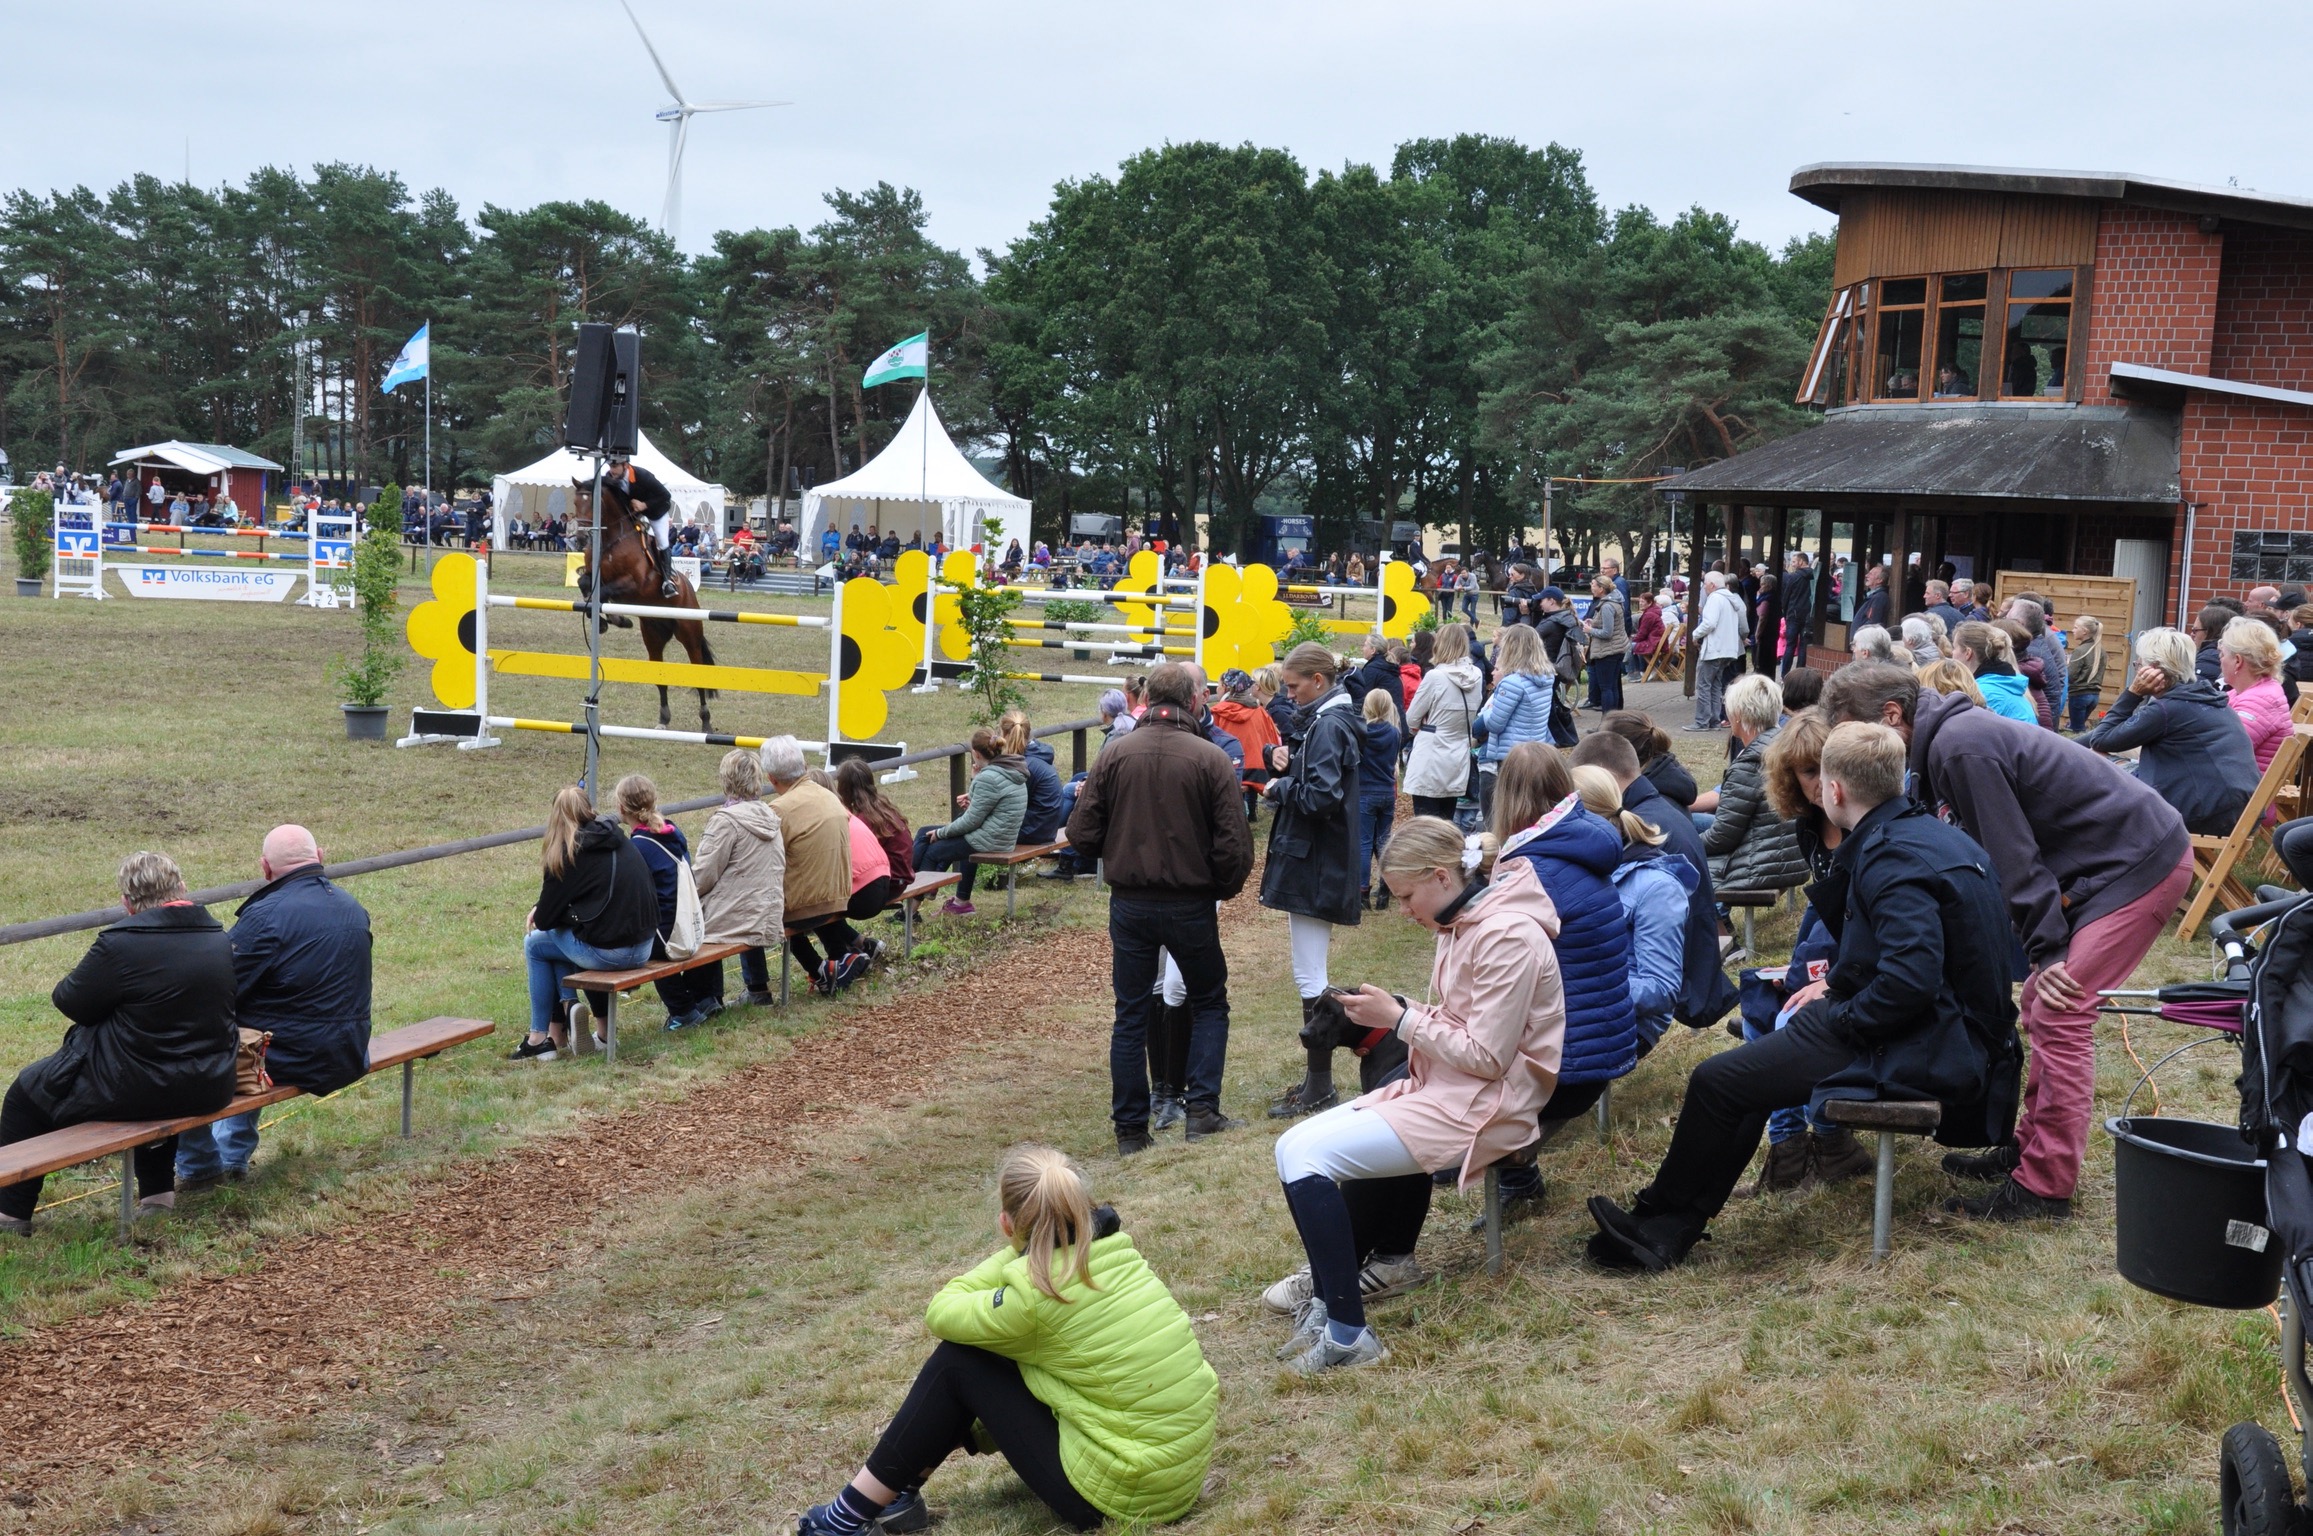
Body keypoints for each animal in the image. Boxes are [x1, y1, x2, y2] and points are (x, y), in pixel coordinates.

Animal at [569, 478, 719, 730]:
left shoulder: (634, 583)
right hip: (653, 636)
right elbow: (585, 585)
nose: (580, 539)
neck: (611, 541)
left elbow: (604, 591)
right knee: (660, 678)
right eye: (575, 502)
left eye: (594, 504)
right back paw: (663, 720)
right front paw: (609, 621)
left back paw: (706, 722)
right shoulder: (593, 576)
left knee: (698, 675)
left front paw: (615, 620)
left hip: (689, 635)